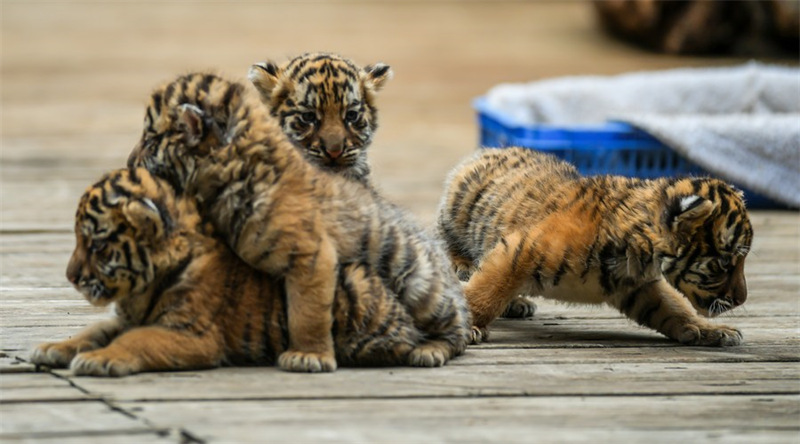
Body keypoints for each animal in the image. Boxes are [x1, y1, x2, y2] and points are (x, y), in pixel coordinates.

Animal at [30, 168, 433, 376]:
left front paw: (100, 359)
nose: (71, 277)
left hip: (355, 288)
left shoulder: (193, 334)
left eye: (96, 246)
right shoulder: (125, 319)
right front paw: (54, 347)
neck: (144, 287)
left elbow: (138, 340)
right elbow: (93, 331)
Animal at [126, 72, 471, 373]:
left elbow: (308, 312)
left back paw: (430, 349)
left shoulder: (312, 257)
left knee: (458, 328)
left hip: (420, 284)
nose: (129, 161)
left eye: (151, 140)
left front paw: (309, 356)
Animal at [438, 147, 753, 346]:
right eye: (725, 263)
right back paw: (463, 268)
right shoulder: (518, 250)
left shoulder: (639, 288)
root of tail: (488, 150)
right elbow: (487, 291)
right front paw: (470, 324)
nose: (741, 299)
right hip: (458, 210)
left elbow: (673, 308)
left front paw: (709, 331)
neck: (642, 256)